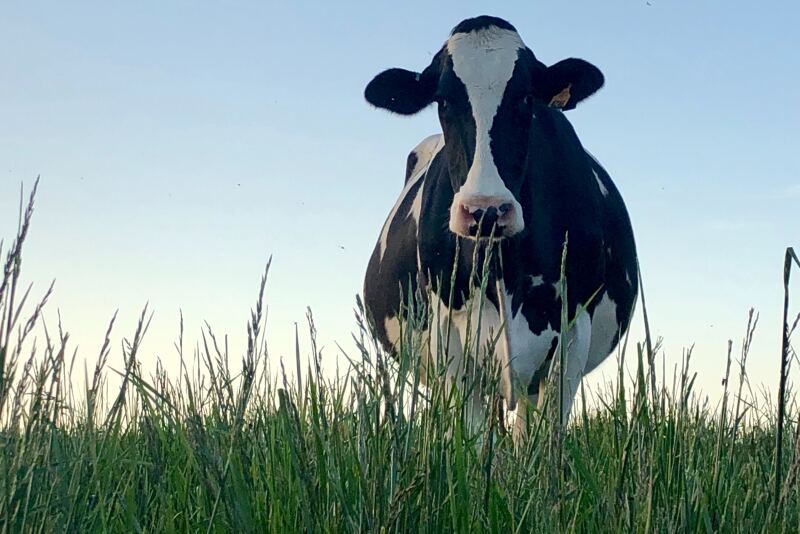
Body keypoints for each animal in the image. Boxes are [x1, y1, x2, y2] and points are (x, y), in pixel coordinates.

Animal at [362, 15, 638, 434]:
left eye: (525, 98)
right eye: (443, 100)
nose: (486, 210)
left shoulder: (573, 330)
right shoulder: (450, 336)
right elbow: (472, 437)